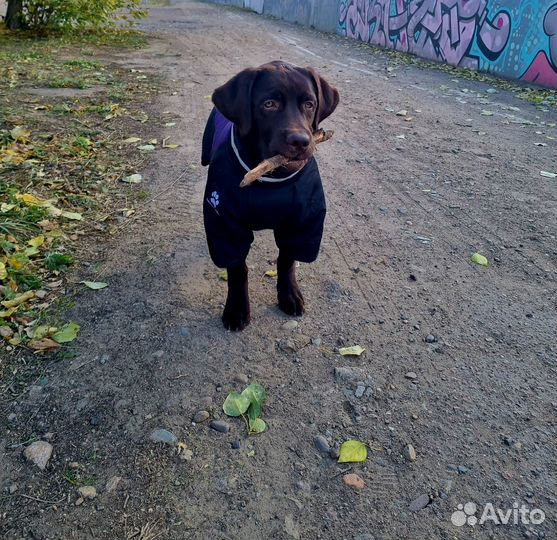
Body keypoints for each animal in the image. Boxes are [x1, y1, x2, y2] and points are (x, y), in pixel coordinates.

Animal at [201, 59, 338, 330]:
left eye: (309, 104)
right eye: (269, 104)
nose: (301, 141)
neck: (270, 181)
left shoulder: (303, 223)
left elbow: (287, 261)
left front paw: (289, 294)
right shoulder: (225, 224)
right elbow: (237, 269)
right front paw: (236, 308)